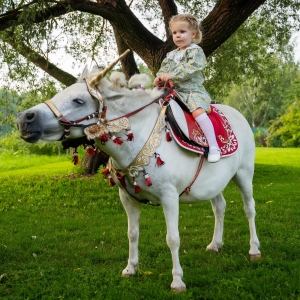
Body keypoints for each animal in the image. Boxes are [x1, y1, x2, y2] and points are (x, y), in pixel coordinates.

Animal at [17, 52, 260, 292]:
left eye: (79, 100)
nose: (24, 118)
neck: (140, 137)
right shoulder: (127, 198)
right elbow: (132, 233)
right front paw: (130, 268)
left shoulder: (169, 197)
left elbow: (173, 238)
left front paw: (177, 280)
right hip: (214, 184)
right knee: (219, 208)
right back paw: (215, 244)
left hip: (244, 174)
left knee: (249, 209)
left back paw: (254, 249)